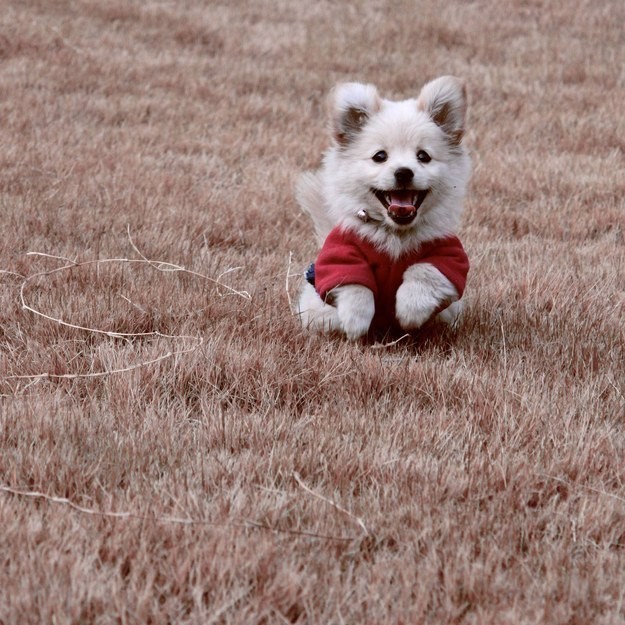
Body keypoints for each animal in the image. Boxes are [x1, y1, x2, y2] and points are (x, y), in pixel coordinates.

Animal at [296, 78, 468, 344]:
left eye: (423, 156)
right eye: (380, 156)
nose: (404, 172)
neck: (395, 234)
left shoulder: (449, 257)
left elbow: (424, 271)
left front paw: (409, 311)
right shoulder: (340, 254)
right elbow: (356, 284)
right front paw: (356, 323)